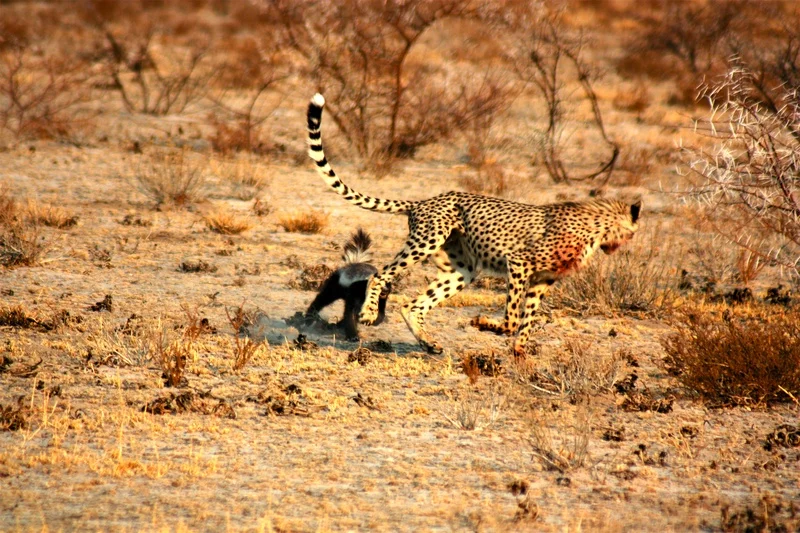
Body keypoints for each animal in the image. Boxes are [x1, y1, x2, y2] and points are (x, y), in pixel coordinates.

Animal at [306, 93, 644, 356]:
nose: (623, 246)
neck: (597, 227)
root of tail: (423, 200)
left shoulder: (543, 279)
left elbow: (528, 320)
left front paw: (520, 350)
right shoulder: (519, 263)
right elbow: (512, 317)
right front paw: (486, 325)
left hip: (462, 270)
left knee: (413, 305)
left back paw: (428, 343)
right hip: (427, 240)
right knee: (381, 275)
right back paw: (368, 312)